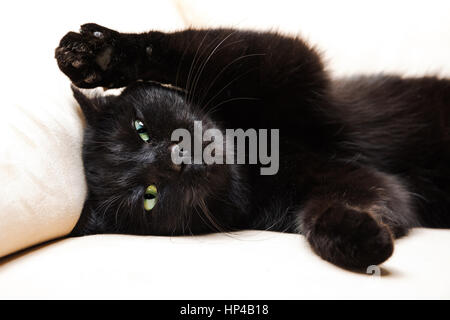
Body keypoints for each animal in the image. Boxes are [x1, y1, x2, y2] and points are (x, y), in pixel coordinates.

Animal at [55, 23, 450, 270]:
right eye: (149, 196)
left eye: (141, 130)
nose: (177, 157)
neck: (259, 160)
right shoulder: (358, 184)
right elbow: (341, 206)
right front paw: (361, 240)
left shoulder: (285, 64)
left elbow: (199, 47)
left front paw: (98, 54)